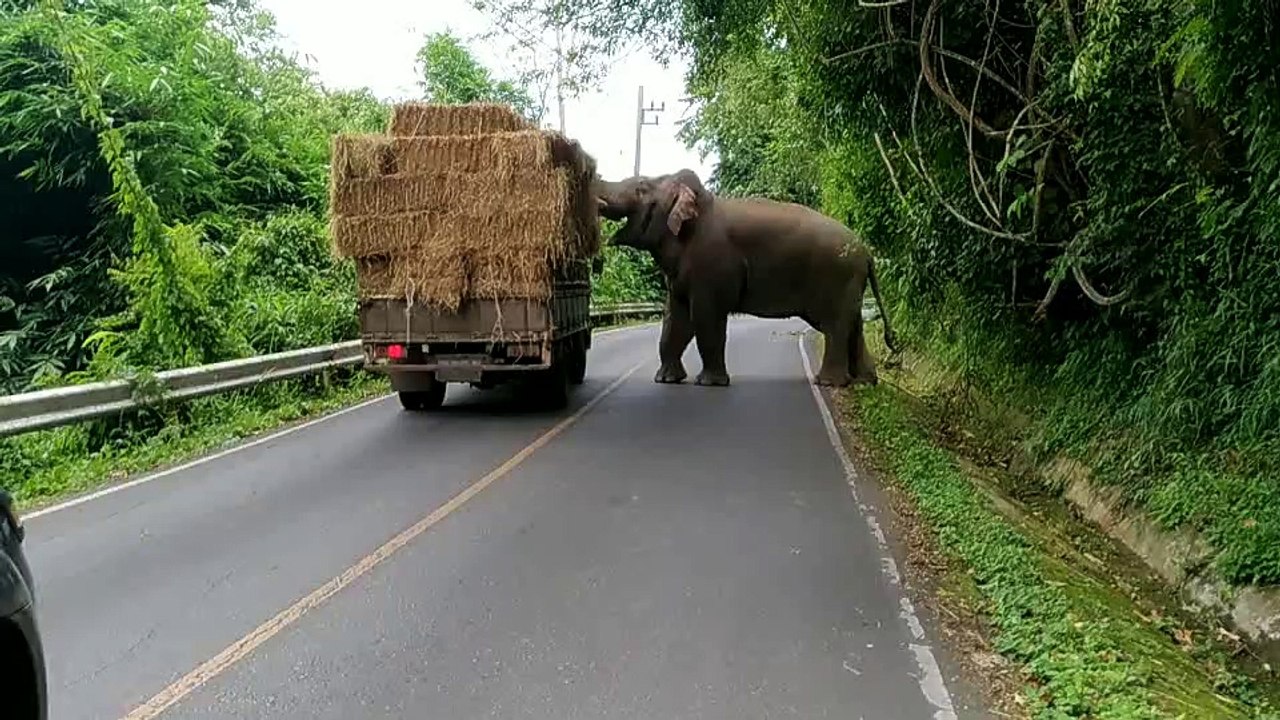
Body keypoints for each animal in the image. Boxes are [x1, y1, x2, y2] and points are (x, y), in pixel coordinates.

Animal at [595, 168, 898, 388]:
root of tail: (867, 252)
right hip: (850, 282)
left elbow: (705, 317)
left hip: (837, 277)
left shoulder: (712, 266)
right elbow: (675, 319)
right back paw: (865, 382)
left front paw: (710, 383)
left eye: (640, 188)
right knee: (854, 325)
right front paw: (667, 380)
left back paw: (829, 383)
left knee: (836, 325)